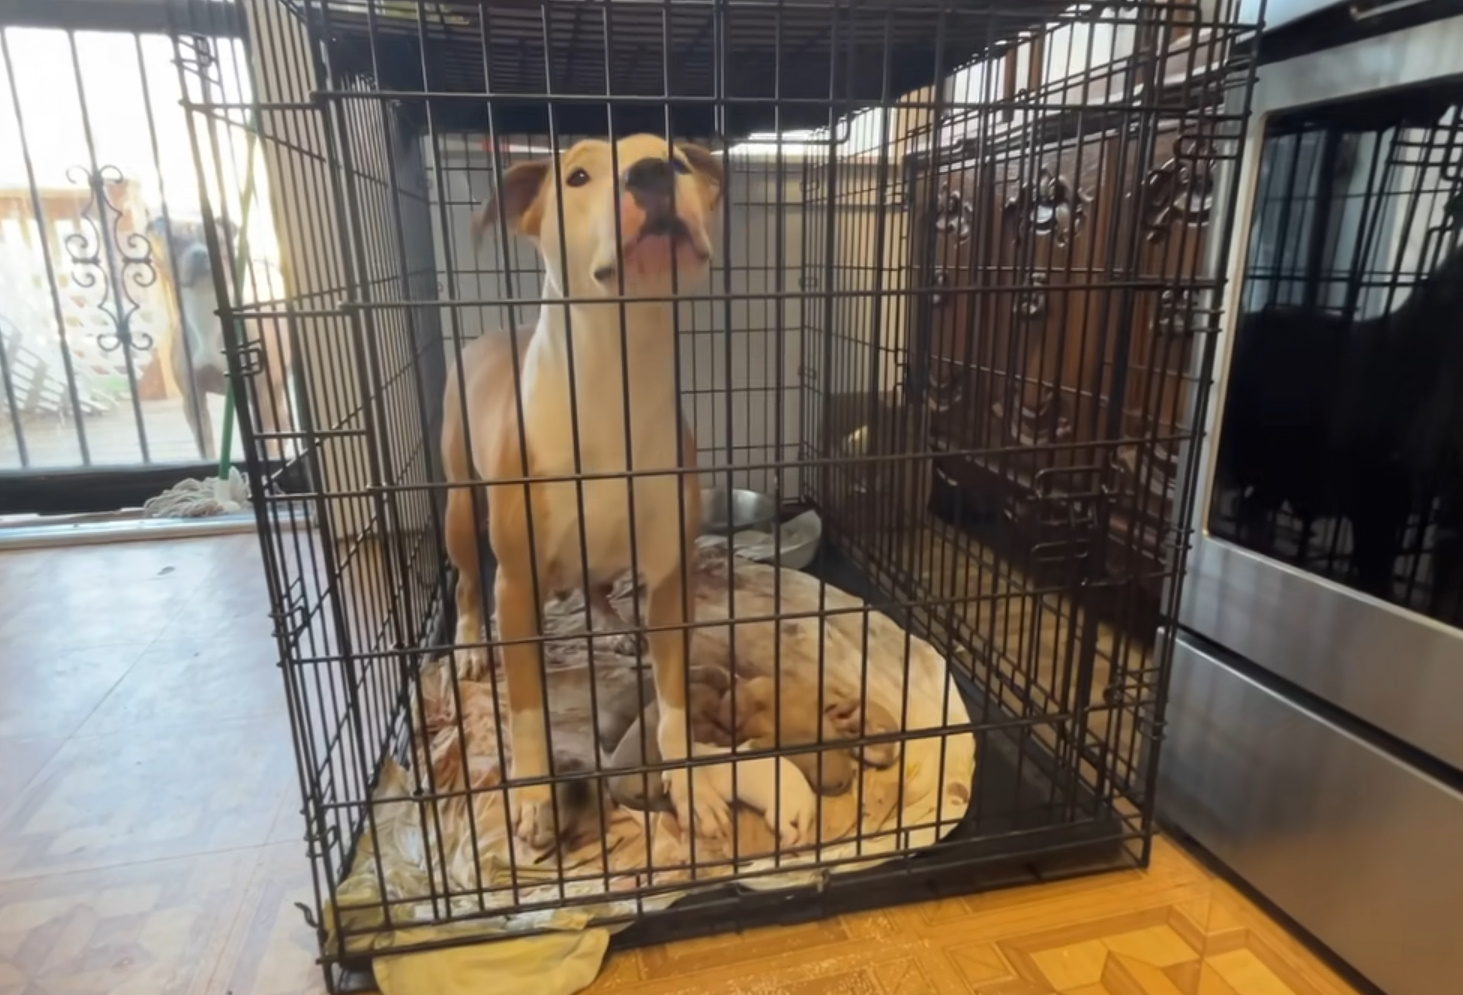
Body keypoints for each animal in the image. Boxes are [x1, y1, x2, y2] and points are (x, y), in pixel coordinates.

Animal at [148, 218, 296, 459]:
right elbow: (206, 446)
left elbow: (268, 437)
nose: (201, 254)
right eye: (177, 241)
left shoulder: (260, 394)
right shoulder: (193, 400)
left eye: (217, 241)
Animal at [438, 130, 725, 848]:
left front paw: (692, 782)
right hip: (460, 504)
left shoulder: (670, 571)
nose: (651, 173)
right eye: (576, 176)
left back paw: (617, 626)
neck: (615, 375)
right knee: (465, 582)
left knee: (597, 588)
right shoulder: (515, 582)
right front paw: (536, 797)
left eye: (678, 159)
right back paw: (470, 645)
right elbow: (526, 709)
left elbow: (674, 696)